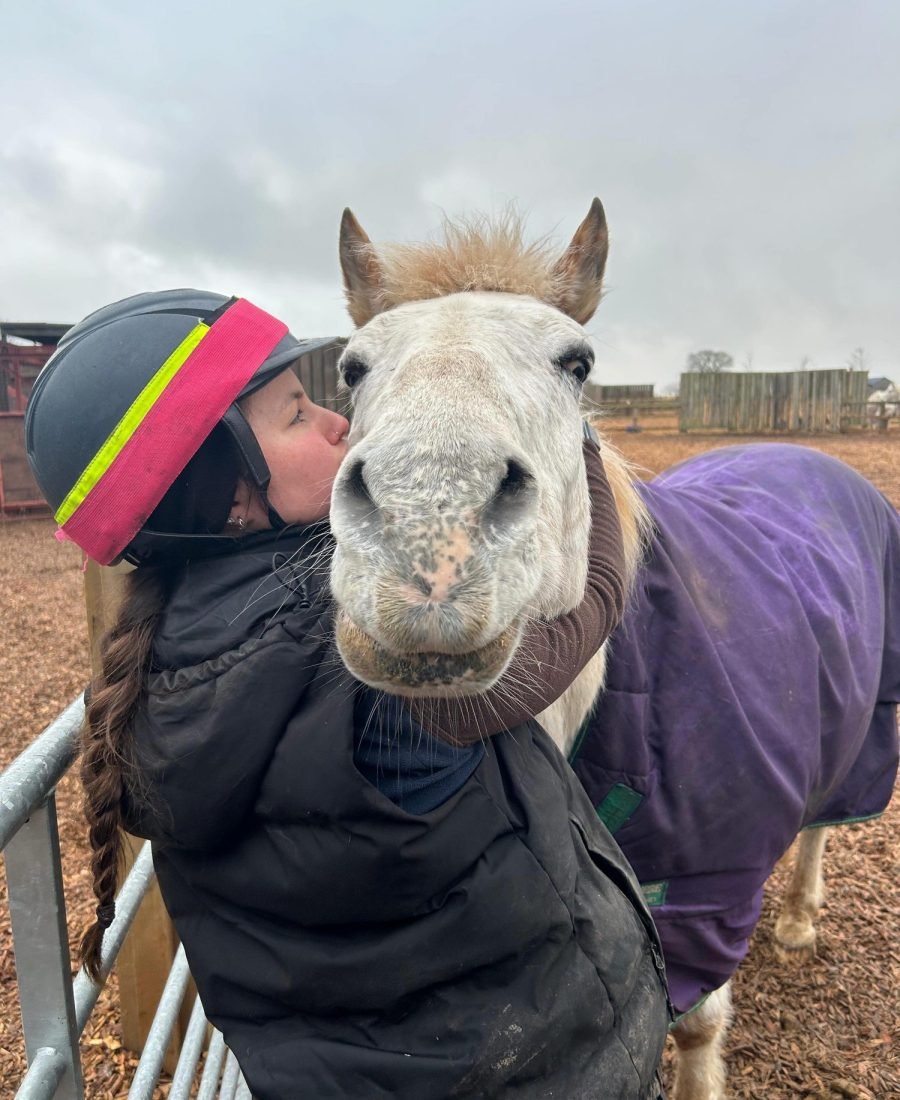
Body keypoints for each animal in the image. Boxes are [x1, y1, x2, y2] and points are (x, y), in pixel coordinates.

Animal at [328, 200, 900, 1100]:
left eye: (578, 362)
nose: (429, 537)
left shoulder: (701, 893)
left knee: (823, 824)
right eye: (352, 368)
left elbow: (696, 1024)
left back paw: (800, 921)